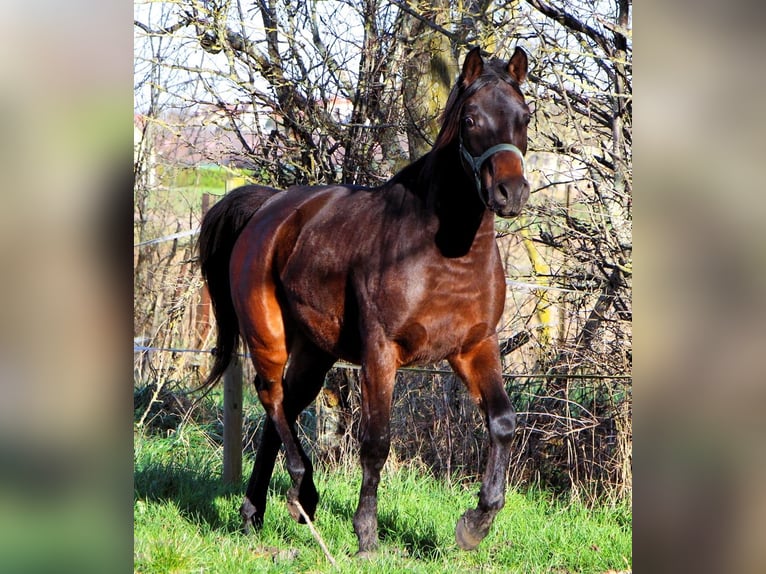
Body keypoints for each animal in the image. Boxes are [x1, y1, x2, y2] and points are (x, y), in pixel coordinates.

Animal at [198, 47, 532, 556]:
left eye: (525, 117)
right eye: (471, 118)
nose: (510, 193)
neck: (444, 252)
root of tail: (267, 209)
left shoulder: (476, 347)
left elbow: (503, 422)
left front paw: (475, 523)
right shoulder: (381, 354)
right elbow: (376, 441)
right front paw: (367, 535)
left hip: (315, 353)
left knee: (283, 410)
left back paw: (257, 511)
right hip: (268, 336)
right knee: (271, 396)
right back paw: (303, 491)